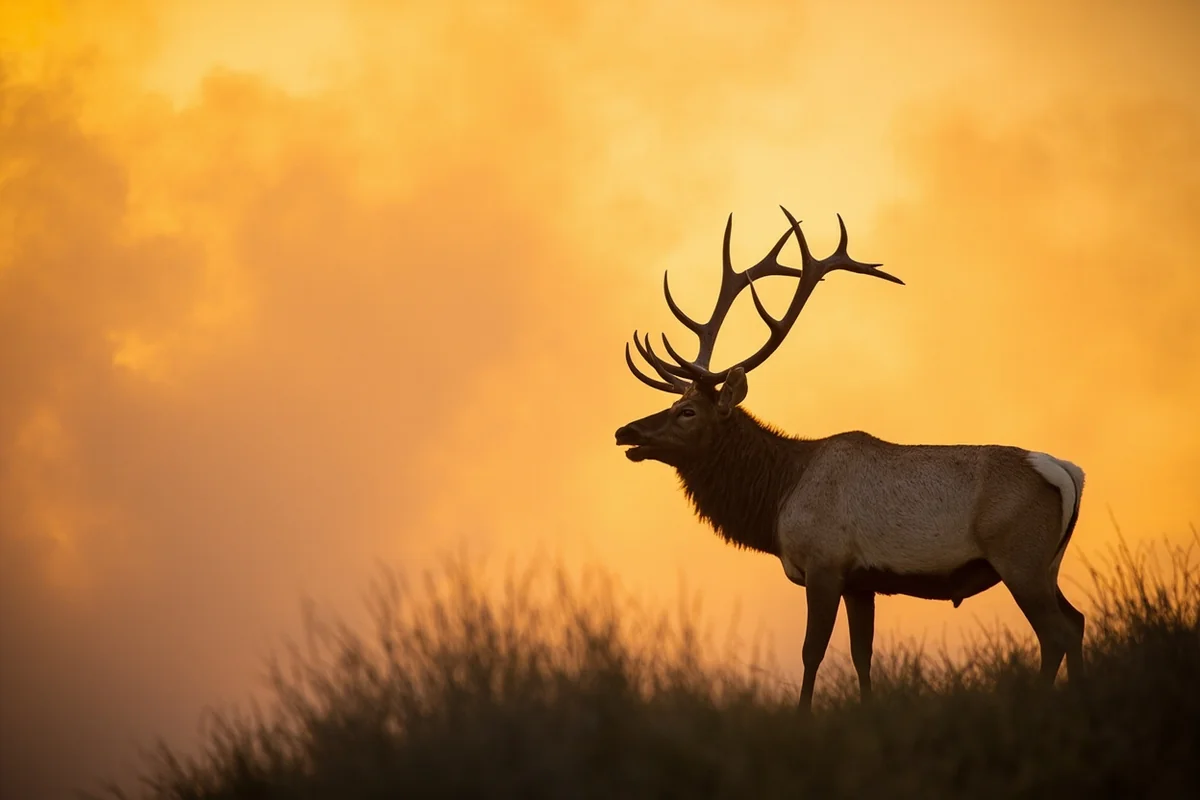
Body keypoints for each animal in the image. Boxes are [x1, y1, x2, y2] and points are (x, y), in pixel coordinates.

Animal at [613, 206, 1087, 712]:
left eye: (687, 412)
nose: (626, 432)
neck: (778, 499)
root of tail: (1067, 472)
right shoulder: (863, 581)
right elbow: (863, 656)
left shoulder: (825, 563)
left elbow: (812, 653)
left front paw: (803, 717)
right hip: (1048, 564)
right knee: (1076, 622)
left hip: (1020, 557)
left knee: (1056, 633)